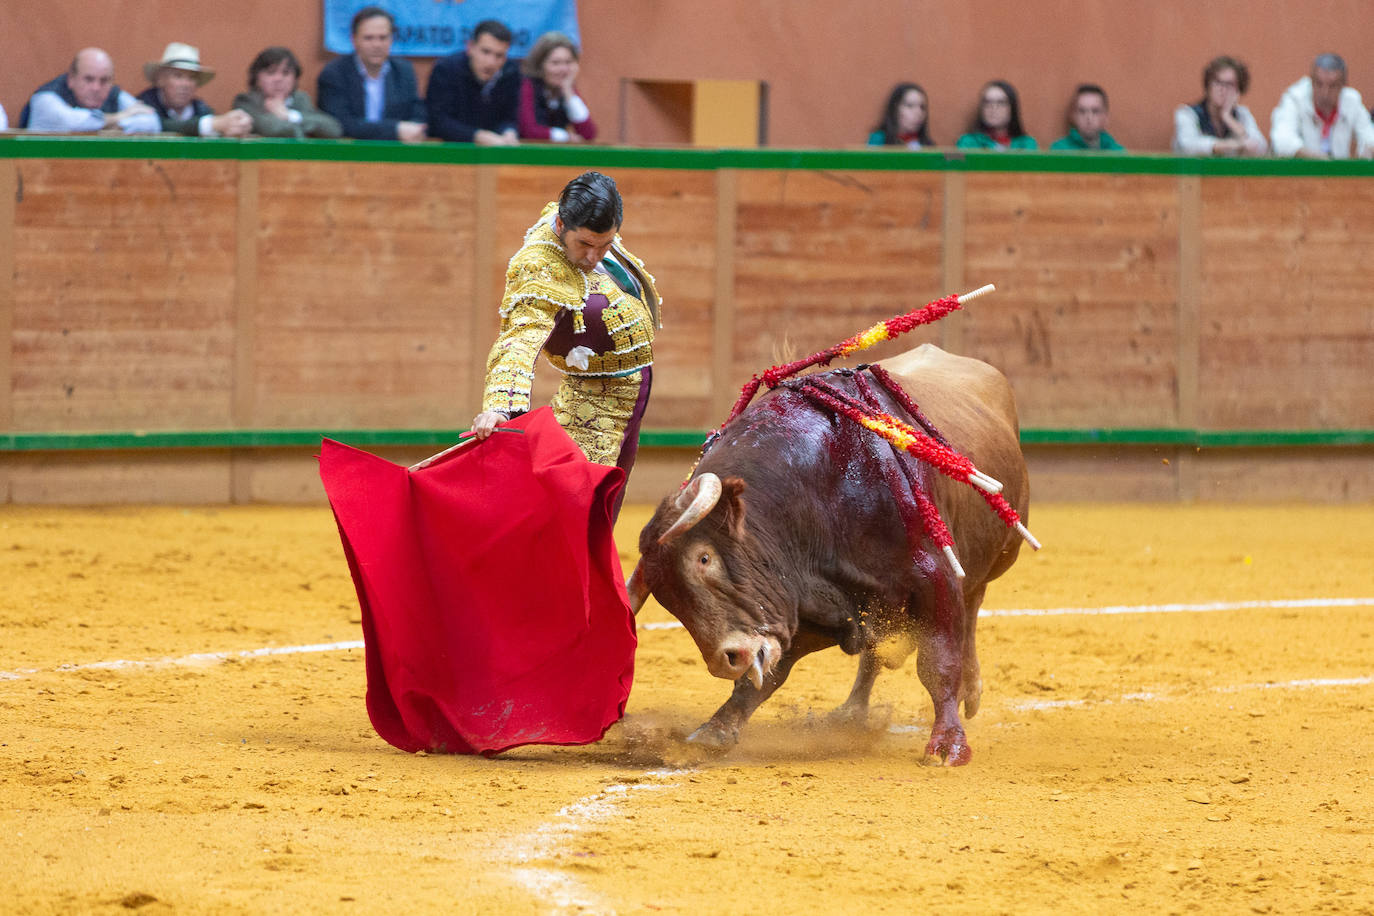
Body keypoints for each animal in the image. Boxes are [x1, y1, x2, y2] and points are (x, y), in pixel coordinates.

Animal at [626, 343, 1033, 769]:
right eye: (666, 597)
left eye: (705, 559)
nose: (728, 659)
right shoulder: (805, 606)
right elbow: (765, 679)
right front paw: (713, 732)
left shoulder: (935, 578)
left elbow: (939, 662)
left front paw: (948, 745)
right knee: (875, 655)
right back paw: (851, 715)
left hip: (991, 560)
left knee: (971, 610)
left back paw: (970, 689)